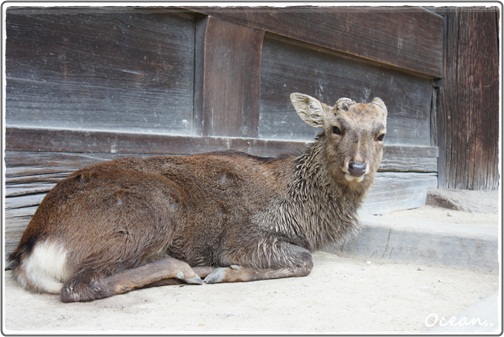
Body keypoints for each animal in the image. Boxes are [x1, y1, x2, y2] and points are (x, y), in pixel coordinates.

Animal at [7, 92, 388, 302]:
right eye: (335, 128)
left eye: (381, 134)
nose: (357, 166)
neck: (302, 214)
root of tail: (30, 250)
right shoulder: (244, 237)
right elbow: (305, 261)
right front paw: (228, 272)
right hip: (148, 212)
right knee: (80, 285)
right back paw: (187, 268)